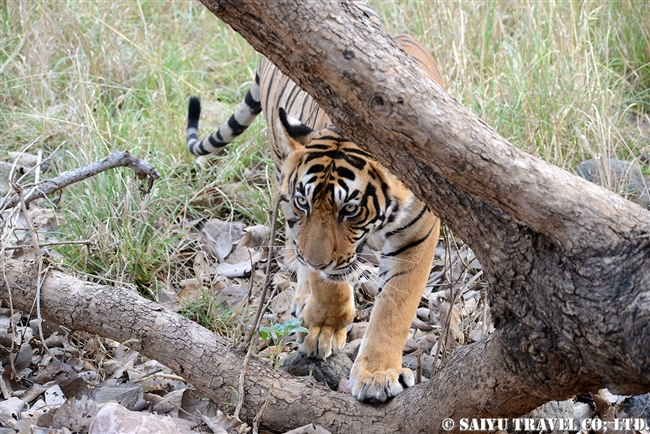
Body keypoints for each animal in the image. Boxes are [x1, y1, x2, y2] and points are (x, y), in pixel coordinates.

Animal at [185, 4, 442, 404]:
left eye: (350, 209)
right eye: (305, 202)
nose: (317, 260)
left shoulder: (418, 236)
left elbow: (394, 307)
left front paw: (377, 374)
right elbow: (329, 284)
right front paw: (323, 330)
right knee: (296, 247)